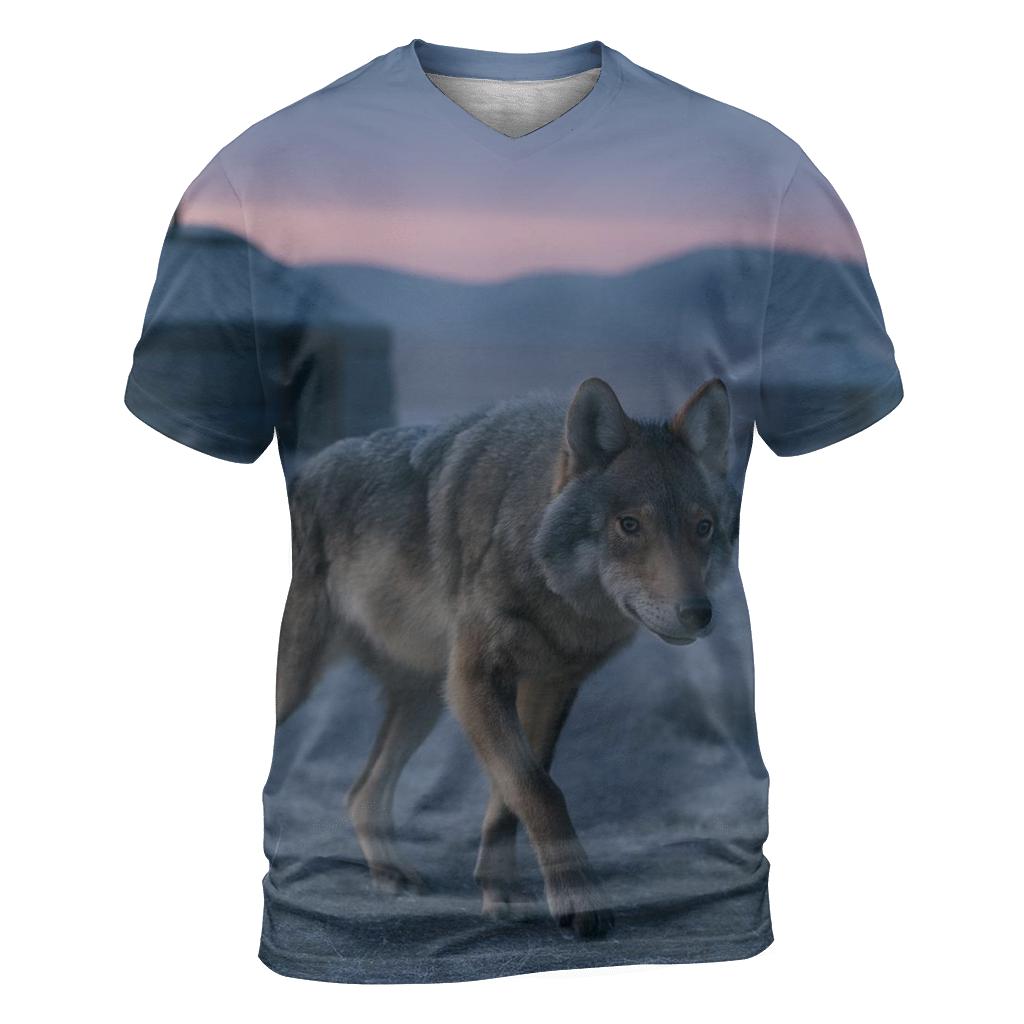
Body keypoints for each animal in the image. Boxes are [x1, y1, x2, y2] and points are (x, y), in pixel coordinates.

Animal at [277, 377, 738, 938]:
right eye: (629, 525)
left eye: (703, 527)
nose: (698, 612)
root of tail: (298, 478)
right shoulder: (476, 682)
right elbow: (539, 789)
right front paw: (580, 898)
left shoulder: (547, 687)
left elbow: (511, 797)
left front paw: (500, 891)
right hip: (302, 685)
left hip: (426, 702)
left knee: (361, 794)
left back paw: (390, 872)